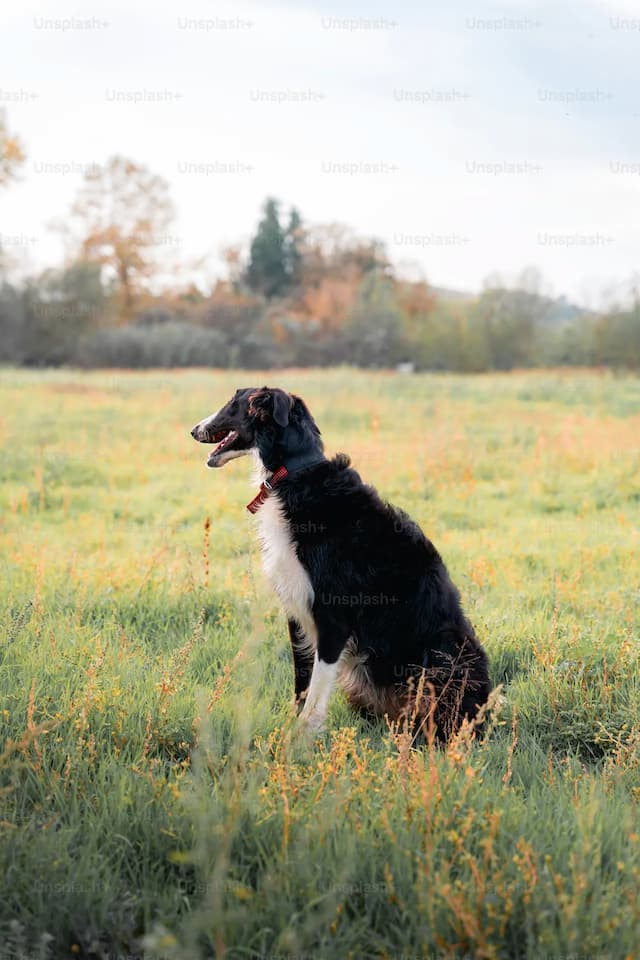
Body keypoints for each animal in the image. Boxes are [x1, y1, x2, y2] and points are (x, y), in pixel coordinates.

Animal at [190, 386, 490, 740]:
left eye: (233, 404)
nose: (193, 430)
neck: (295, 475)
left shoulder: (333, 617)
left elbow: (316, 692)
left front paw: (301, 738)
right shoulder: (296, 612)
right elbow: (301, 685)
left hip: (442, 653)